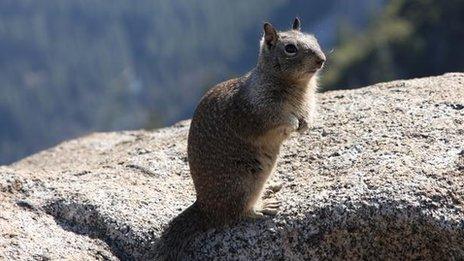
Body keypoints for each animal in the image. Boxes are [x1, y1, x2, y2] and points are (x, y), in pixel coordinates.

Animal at [156, 17, 322, 258]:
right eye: (290, 48)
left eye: (314, 39)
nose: (322, 60)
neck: (298, 87)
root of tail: (204, 209)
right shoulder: (258, 111)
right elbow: (277, 119)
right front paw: (292, 123)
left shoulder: (307, 103)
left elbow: (305, 116)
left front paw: (305, 125)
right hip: (243, 183)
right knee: (239, 213)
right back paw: (263, 207)